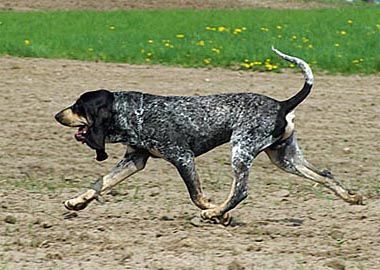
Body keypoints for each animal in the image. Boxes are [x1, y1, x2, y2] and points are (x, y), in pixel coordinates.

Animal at [55, 47, 362, 225]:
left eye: (78, 106)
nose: (57, 115)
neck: (132, 111)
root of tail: (282, 104)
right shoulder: (135, 160)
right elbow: (101, 183)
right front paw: (77, 202)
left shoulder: (183, 157)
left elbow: (197, 195)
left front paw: (216, 211)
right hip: (284, 158)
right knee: (325, 174)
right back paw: (351, 198)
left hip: (241, 151)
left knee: (240, 191)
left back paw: (216, 213)